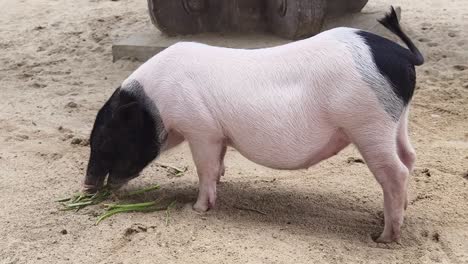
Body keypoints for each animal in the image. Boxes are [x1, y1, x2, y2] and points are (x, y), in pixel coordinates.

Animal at [84, 7, 424, 243]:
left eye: (104, 139)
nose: (87, 186)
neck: (157, 103)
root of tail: (402, 54)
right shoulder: (217, 134)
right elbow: (217, 165)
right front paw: (220, 182)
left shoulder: (201, 129)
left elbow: (204, 168)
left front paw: (197, 209)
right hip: (397, 119)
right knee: (409, 158)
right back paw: (399, 213)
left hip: (369, 123)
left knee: (395, 171)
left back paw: (384, 237)